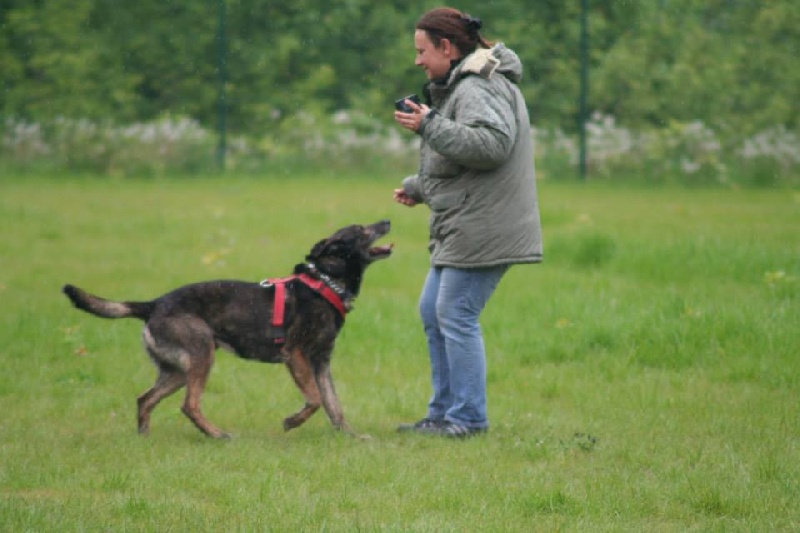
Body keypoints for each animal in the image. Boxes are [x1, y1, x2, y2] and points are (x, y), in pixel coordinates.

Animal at [61, 219, 392, 436]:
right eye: (362, 230)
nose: (386, 220)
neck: (325, 283)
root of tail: (153, 304)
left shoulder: (321, 362)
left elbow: (334, 404)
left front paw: (350, 436)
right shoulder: (296, 354)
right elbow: (314, 399)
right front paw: (291, 422)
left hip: (177, 370)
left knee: (145, 399)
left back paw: (145, 434)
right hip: (201, 354)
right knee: (189, 405)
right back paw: (215, 434)